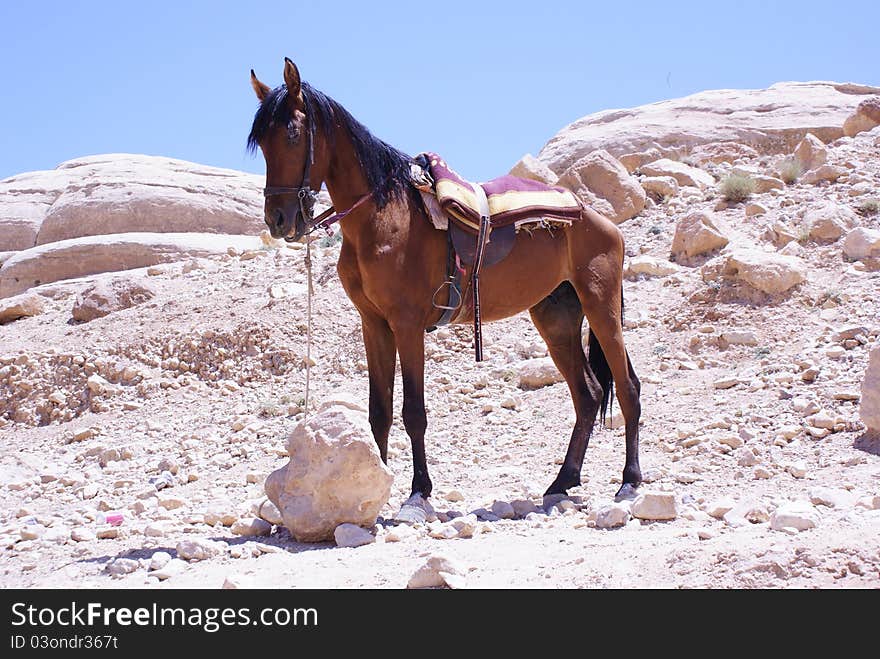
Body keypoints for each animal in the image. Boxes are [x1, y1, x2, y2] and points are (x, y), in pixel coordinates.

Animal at [244, 62, 644, 502]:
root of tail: (598, 219)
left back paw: (629, 479)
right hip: (557, 319)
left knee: (627, 388)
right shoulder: (374, 325)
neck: (381, 219)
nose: (278, 220)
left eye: (292, 134)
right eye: (262, 143)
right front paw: (376, 486)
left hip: (601, 307)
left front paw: (419, 490)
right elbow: (379, 411)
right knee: (588, 395)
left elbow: (413, 412)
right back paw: (563, 480)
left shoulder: (406, 325)